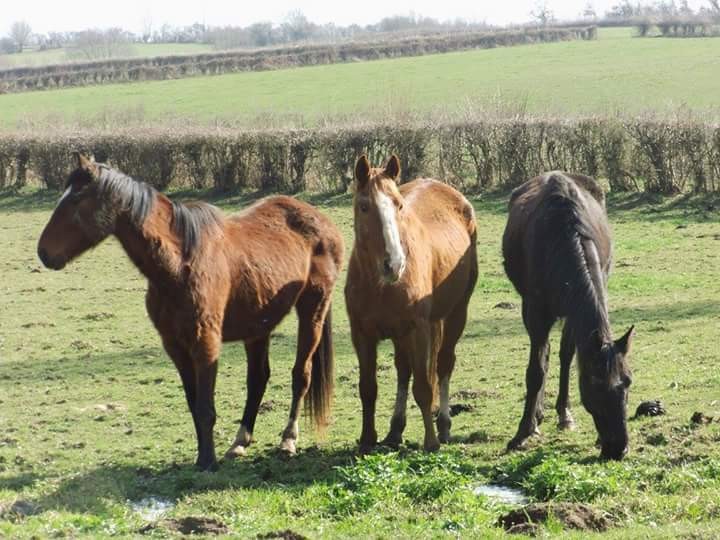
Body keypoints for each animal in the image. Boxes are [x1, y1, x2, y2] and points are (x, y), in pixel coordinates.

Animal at [37, 153, 343, 471]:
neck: (178, 265)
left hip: (312, 311)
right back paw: (239, 443)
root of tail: (320, 219)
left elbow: (205, 406)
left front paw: (208, 461)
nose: (43, 252)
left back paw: (288, 439)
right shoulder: (174, 345)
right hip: (258, 325)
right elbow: (193, 403)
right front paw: (201, 456)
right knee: (258, 379)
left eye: (76, 200)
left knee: (301, 375)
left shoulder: (205, 342)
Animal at [345, 154, 478, 453]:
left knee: (443, 365)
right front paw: (367, 440)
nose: (394, 264)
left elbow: (424, 387)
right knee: (403, 371)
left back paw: (443, 425)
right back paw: (395, 430)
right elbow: (368, 387)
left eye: (398, 204)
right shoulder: (362, 334)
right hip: (401, 334)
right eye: (364, 206)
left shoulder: (419, 330)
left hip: (457, 313)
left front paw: (431, 442)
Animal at [502, 171, 635, 460]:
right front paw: (522, 432)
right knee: (544, 355)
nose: (618, 448)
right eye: (596, 384)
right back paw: (537, 417)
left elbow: (567, 356)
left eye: (628, 382)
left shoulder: (575, 313)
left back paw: (562, 415)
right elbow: (536, 370)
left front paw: (565, 415)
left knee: (562, 355)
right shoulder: (535, 312)